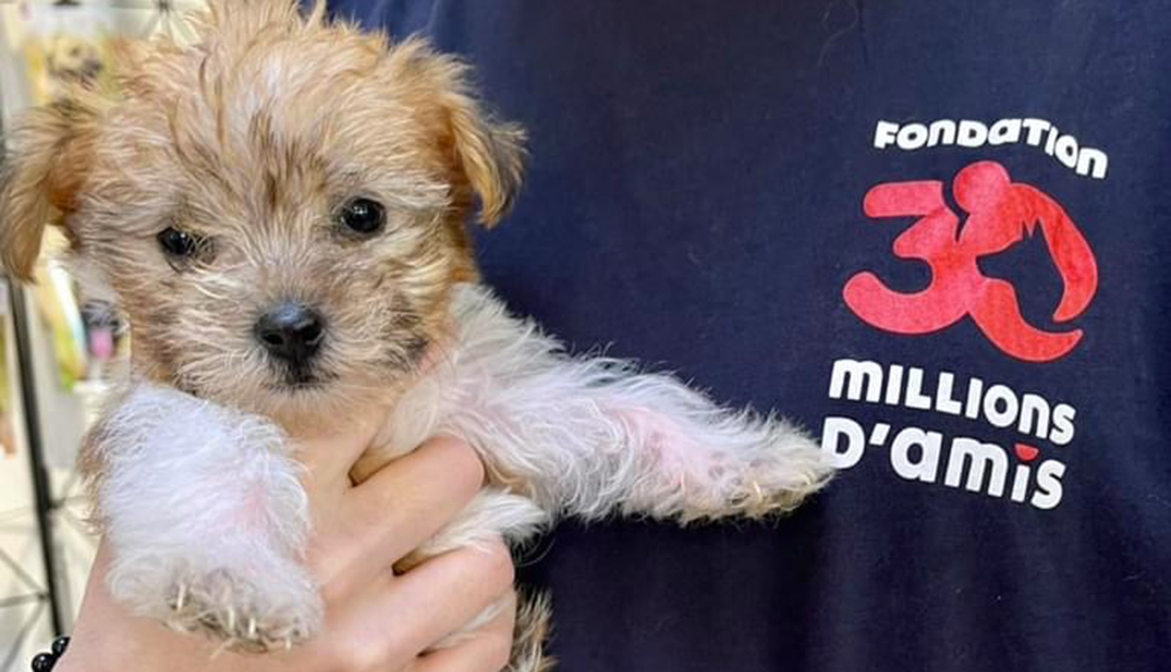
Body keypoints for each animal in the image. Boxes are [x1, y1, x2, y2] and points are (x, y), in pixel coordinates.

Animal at [0, 2, 832, 669]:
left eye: (363, 215)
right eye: (178, 242)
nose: (289, 329)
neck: (340, 417)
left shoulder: (487, 404)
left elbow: (618, 410)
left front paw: (744, 460)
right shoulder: (155, 408)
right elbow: (209, 449)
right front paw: (227, 575)